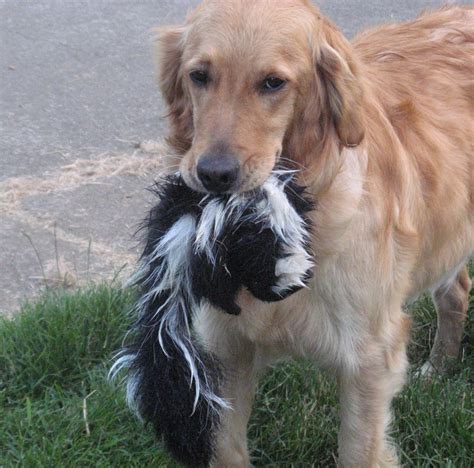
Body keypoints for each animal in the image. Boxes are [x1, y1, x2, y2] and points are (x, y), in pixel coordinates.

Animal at [155, 1, 470, 466]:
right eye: (199, 76)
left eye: (272, 83)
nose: (214, 175)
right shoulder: (226, 347)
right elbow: (227, 448)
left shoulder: (368, 359)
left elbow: (358, 451)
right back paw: (439, 368)